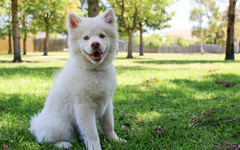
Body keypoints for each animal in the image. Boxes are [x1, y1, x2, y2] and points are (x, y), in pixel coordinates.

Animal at [30, 8, 123, 149]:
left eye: (102, 36)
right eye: (85, 38)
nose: (95, 44)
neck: (94, 71)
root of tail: (37, 126)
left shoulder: (107, 104)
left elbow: (109, 126)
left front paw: (115, 140)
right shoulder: (84, 107)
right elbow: (92, 133)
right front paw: (95, 147)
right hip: (61, 125)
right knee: (45, 139)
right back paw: (63, 144)